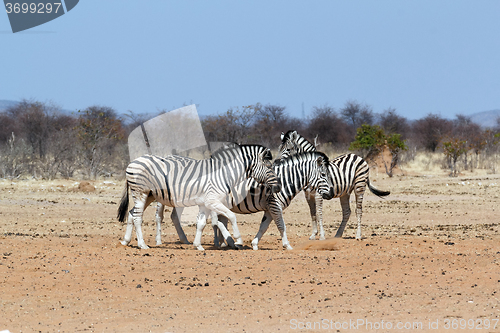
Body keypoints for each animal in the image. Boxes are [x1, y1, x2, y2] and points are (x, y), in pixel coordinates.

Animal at [117, 143, 282, 249]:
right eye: (268, 166)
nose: (279, 187)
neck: (223, 174)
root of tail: (133, 161)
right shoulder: (212, 201)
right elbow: (231, 216)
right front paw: (238, 240)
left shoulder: (205, 203)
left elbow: (202, 223)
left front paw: (198, 245)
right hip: (140, 192)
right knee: (138, 217)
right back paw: (142, 245)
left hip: (149, 195)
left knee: (131, 213)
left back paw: (126, 241)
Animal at [158, 150, 334, 249]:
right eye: (323, 174)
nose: (331, 194)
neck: (285, 180)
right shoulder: (275, 205)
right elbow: (281, 225)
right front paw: (287, 245)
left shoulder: (269, 209)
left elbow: (264, 227)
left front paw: (255, 244)